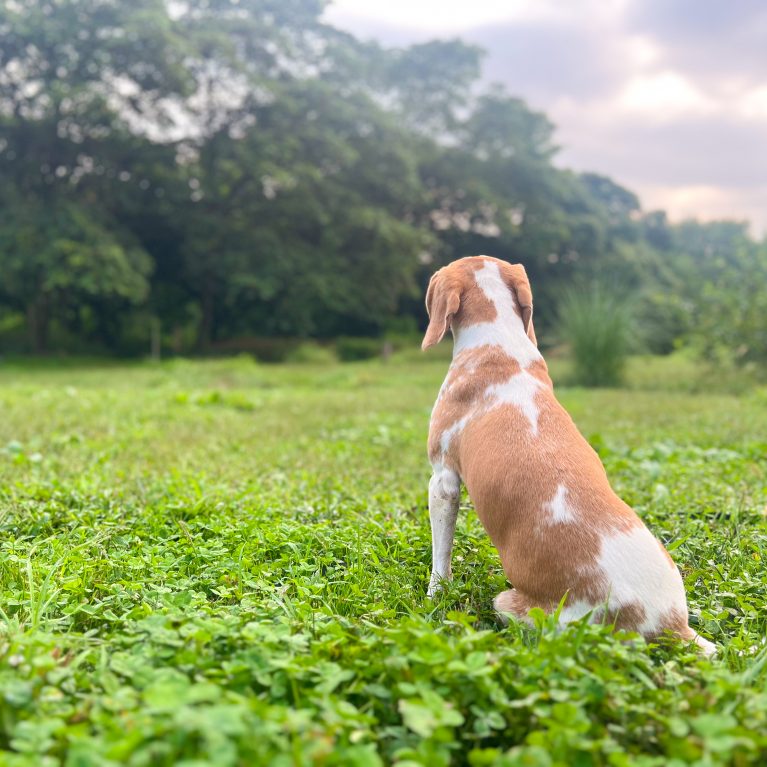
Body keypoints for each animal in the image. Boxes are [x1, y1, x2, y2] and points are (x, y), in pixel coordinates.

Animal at [424, 254, 716, 656]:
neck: (498, 344)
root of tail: (669, 625)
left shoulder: (443, 480)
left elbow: (441, 555)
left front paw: (435, 595)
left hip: (513, 604)